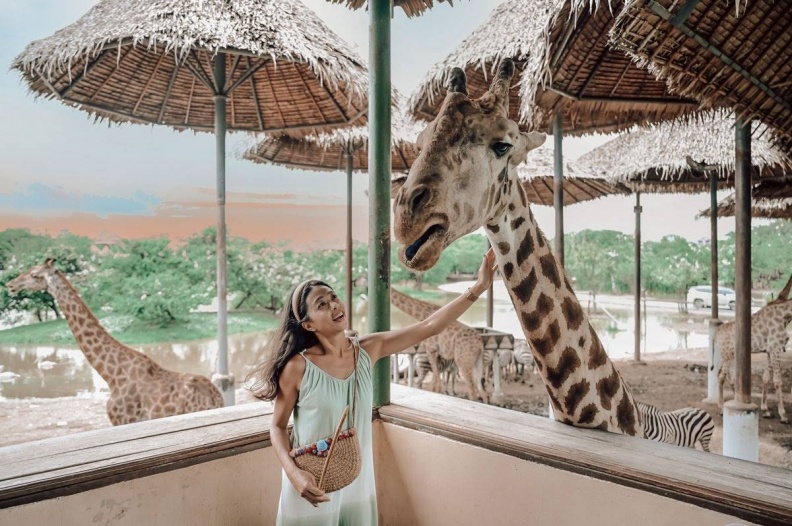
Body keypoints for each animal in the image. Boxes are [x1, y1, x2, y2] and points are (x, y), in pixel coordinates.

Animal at [716, 276, 792, 424]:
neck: (785, 315)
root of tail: (716, 335)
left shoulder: (769, 350)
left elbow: (766, 377)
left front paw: (766, 410)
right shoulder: (776, 347)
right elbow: (778, 380)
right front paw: (783, 415)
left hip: (728, 355)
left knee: (722, 374)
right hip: (727, 354)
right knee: (722, 376)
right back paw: (721, 409)